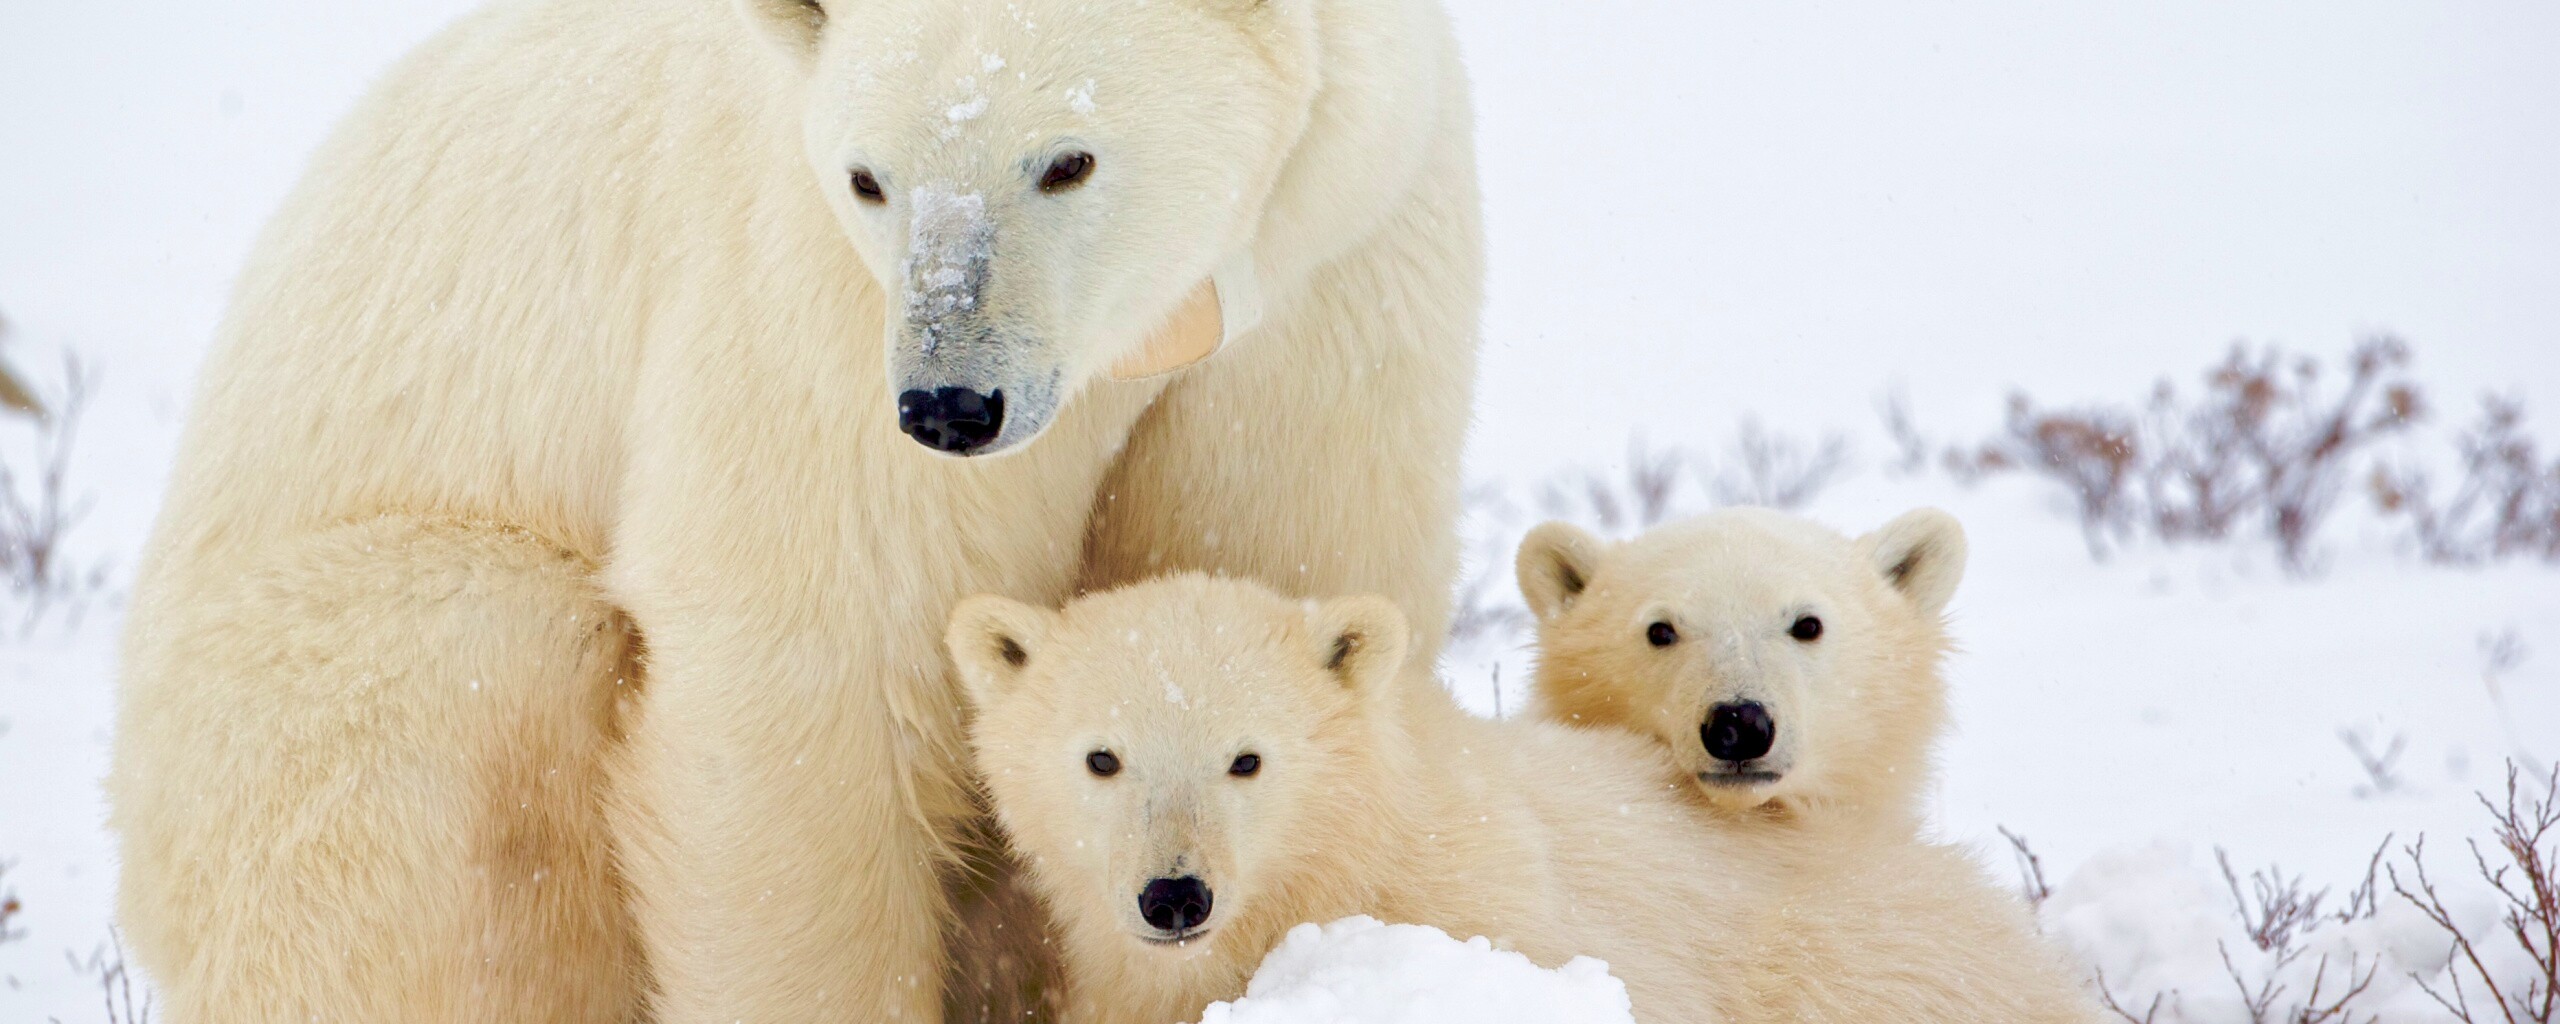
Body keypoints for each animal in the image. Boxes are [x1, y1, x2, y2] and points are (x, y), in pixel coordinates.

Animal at [110, 0, 1484, 1018]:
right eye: (869, 177)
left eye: (1067, 158)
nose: (948, 401)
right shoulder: (798, 288)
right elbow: (813, 663)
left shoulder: (1332, 268)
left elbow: (1268, 565)